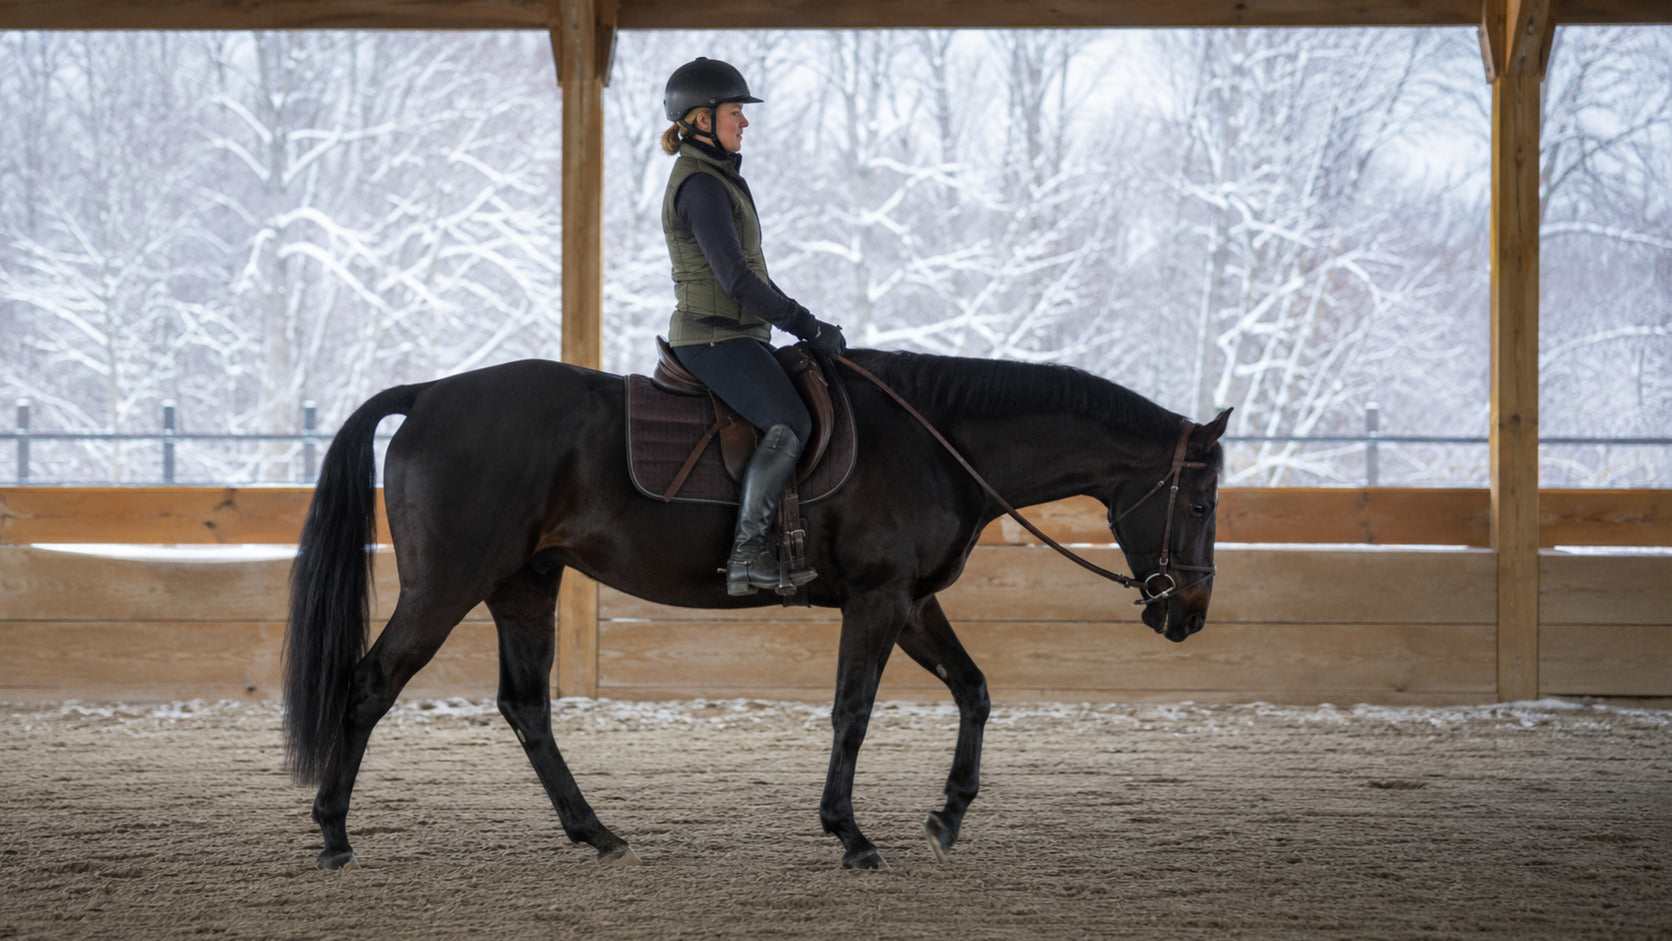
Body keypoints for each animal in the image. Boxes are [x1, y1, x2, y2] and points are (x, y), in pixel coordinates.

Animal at [282, 348, 1231, 871]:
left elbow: (975, 690)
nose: (1188, 611)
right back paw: (333, 835)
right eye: (1200, 501)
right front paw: (850, 834)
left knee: (526, 706)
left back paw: (596, 832)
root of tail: (430, 393)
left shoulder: (910, 600)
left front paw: (948, 814)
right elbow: (853, 713)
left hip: (524, 583)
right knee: (368, 685)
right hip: (447, 584)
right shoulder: (879, 598)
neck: (936, 442)